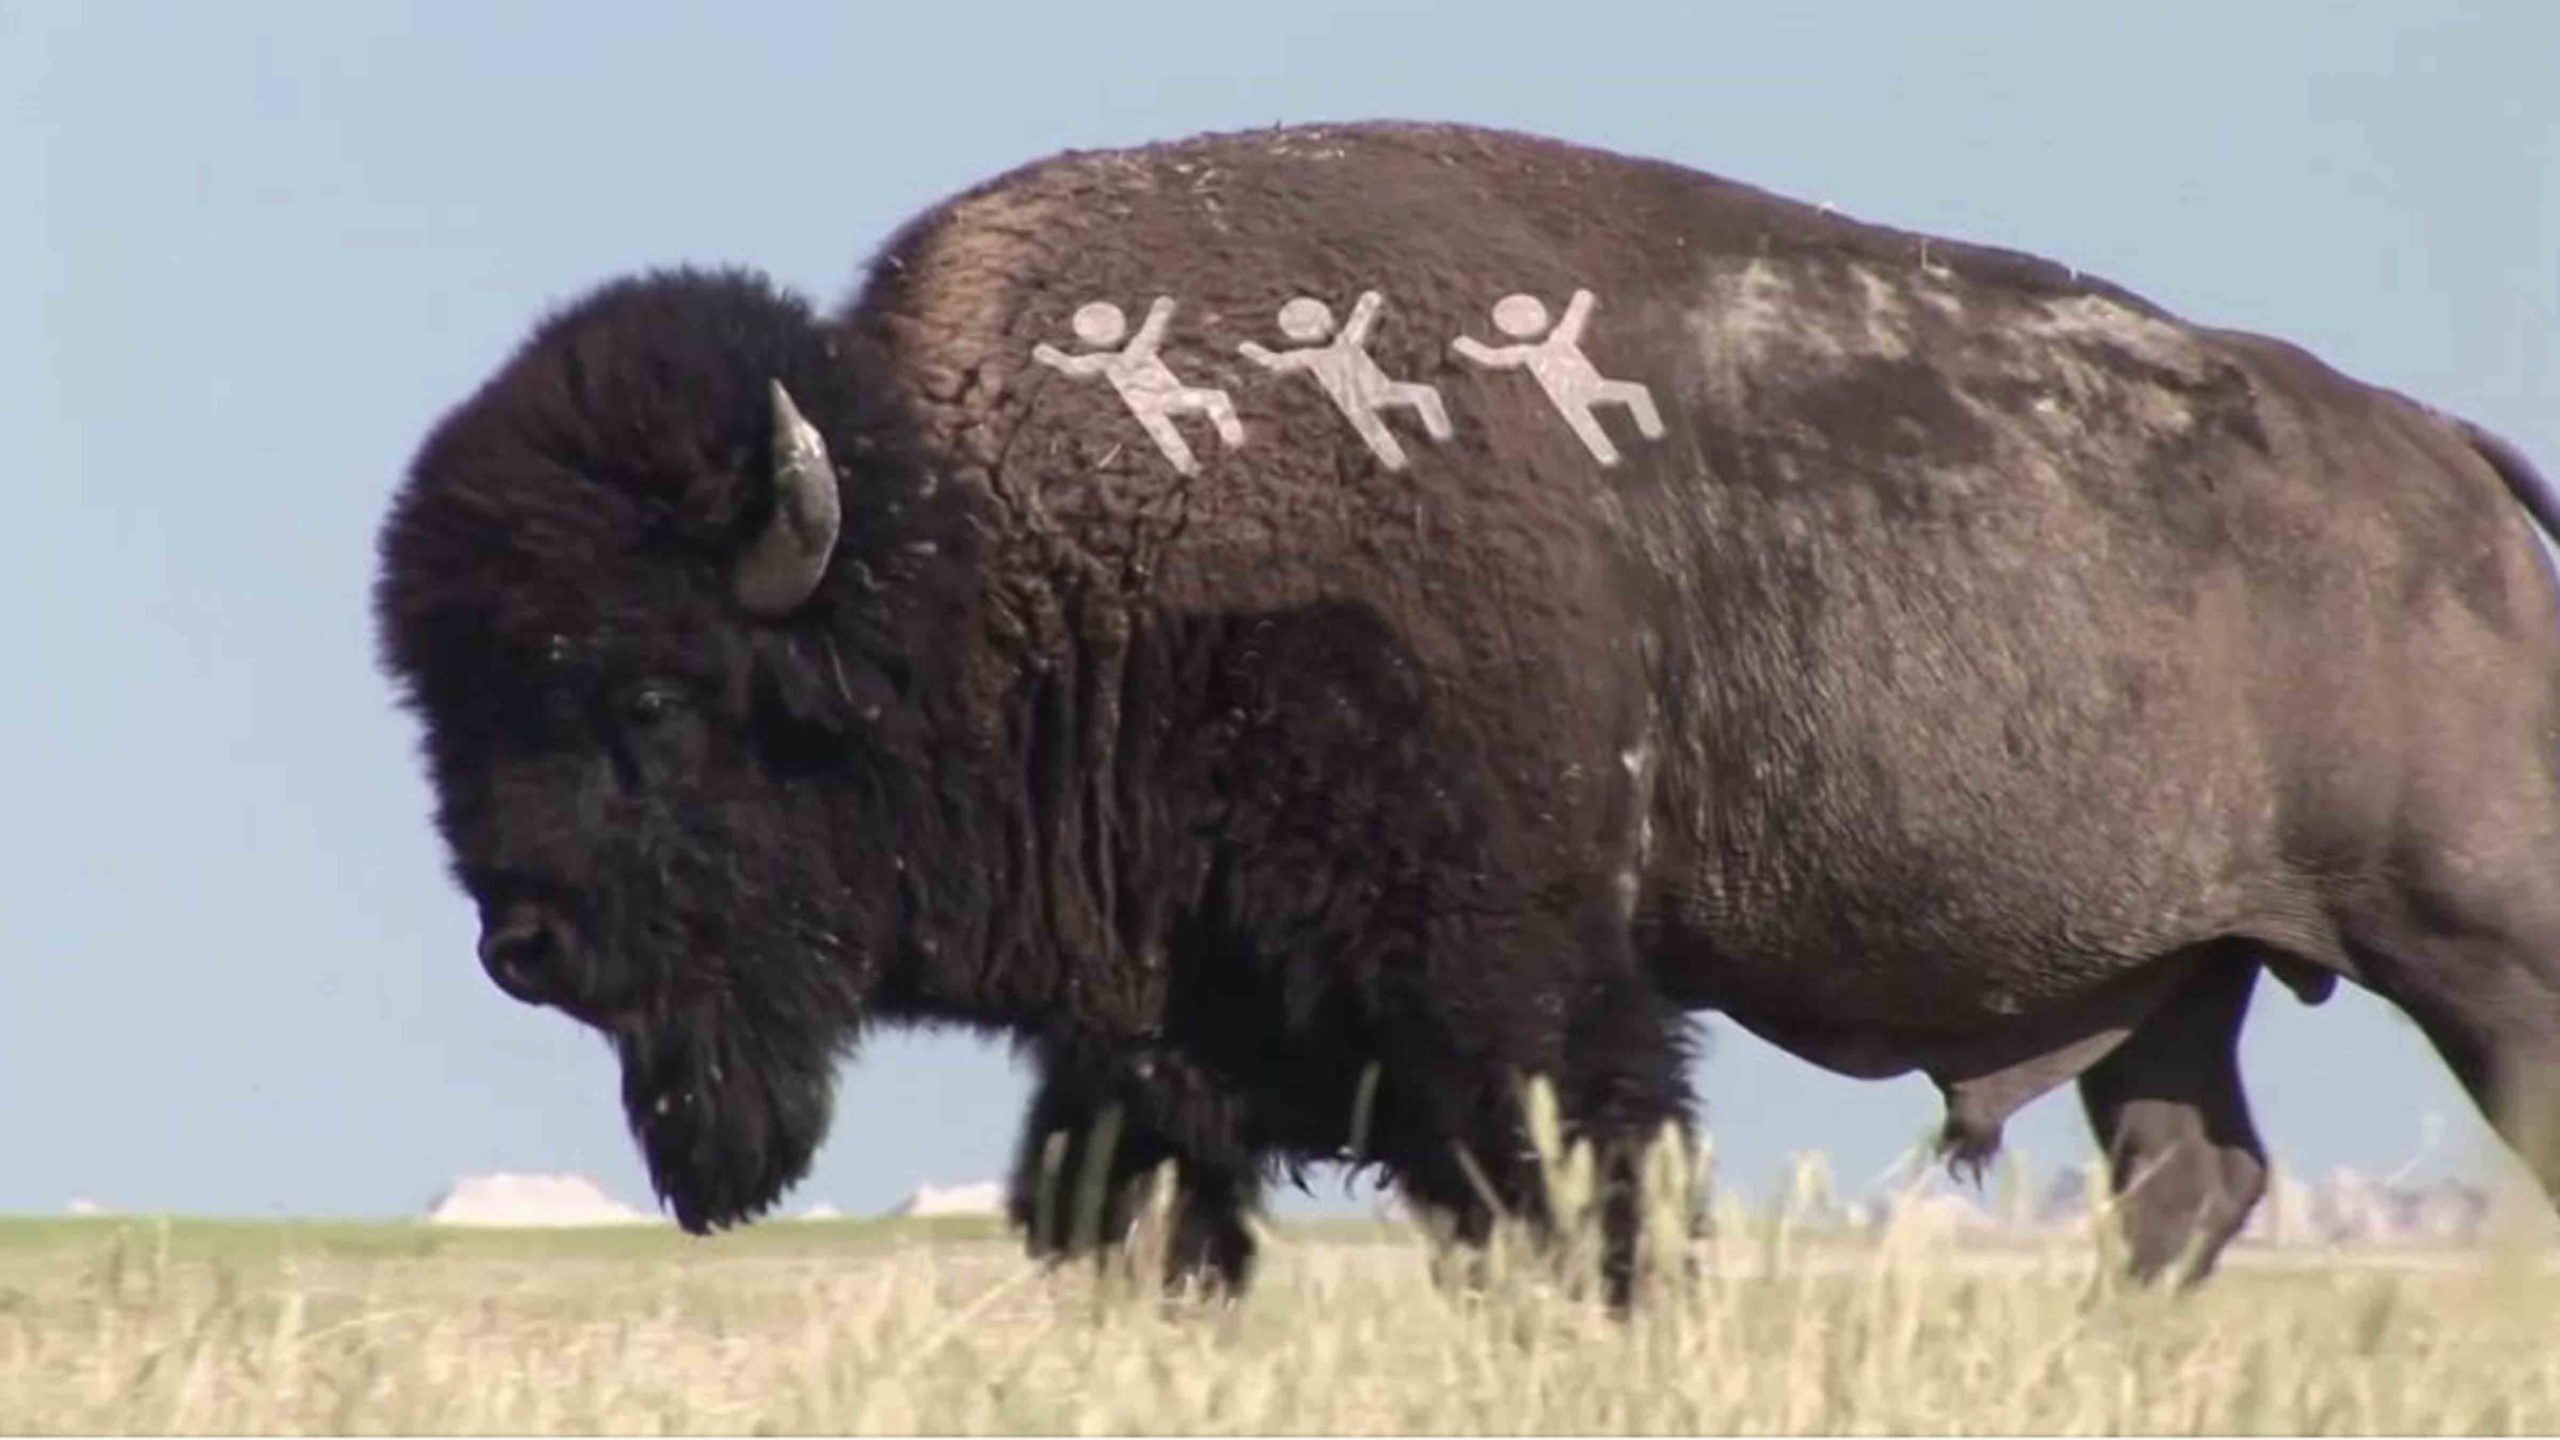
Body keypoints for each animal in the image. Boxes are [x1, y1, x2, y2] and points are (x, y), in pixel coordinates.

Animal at [378, 121, 2560, 1297]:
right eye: (446, 703)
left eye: (651, 696)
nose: (520, 944)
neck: (996, 544)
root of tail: (2445, 463)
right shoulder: (1153, 1033)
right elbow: (1122, 1210)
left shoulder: (1517, 1000)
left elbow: (1572, 1192)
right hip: (2170, 984)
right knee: (2189, 1181)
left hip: (2476, 949)